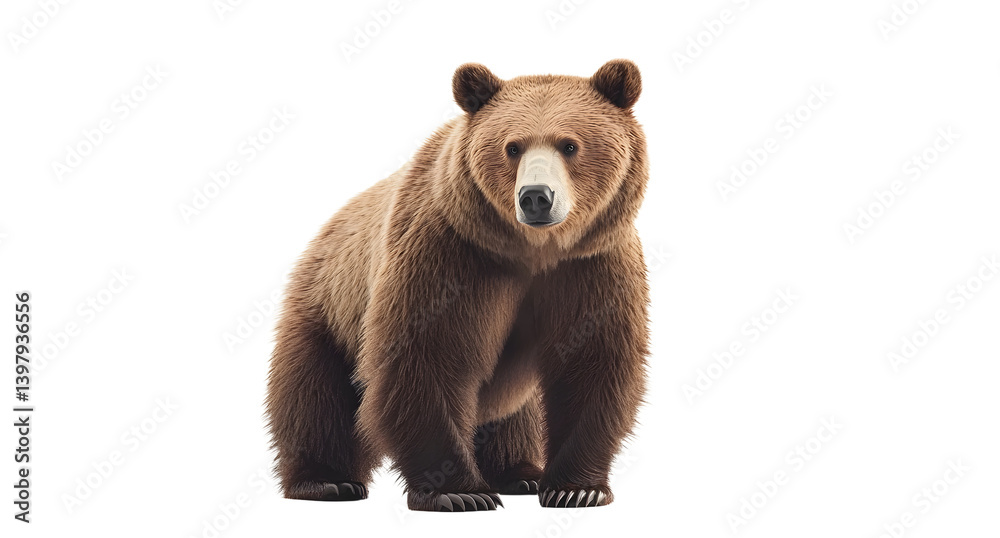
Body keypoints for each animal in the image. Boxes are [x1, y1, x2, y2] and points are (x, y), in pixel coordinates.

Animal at [265, 59, 650, 512]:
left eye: (569, 145)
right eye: (512, 147)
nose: (536, 197)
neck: (531, 252)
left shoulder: (591, 265)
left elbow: (592, 364)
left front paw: (577, 488)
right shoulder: (449, 254)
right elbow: (428, 357)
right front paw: (458, 491)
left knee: (516, 413)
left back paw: (519, 473)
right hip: (328, 311)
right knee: (316, 398)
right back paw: (327, 481)